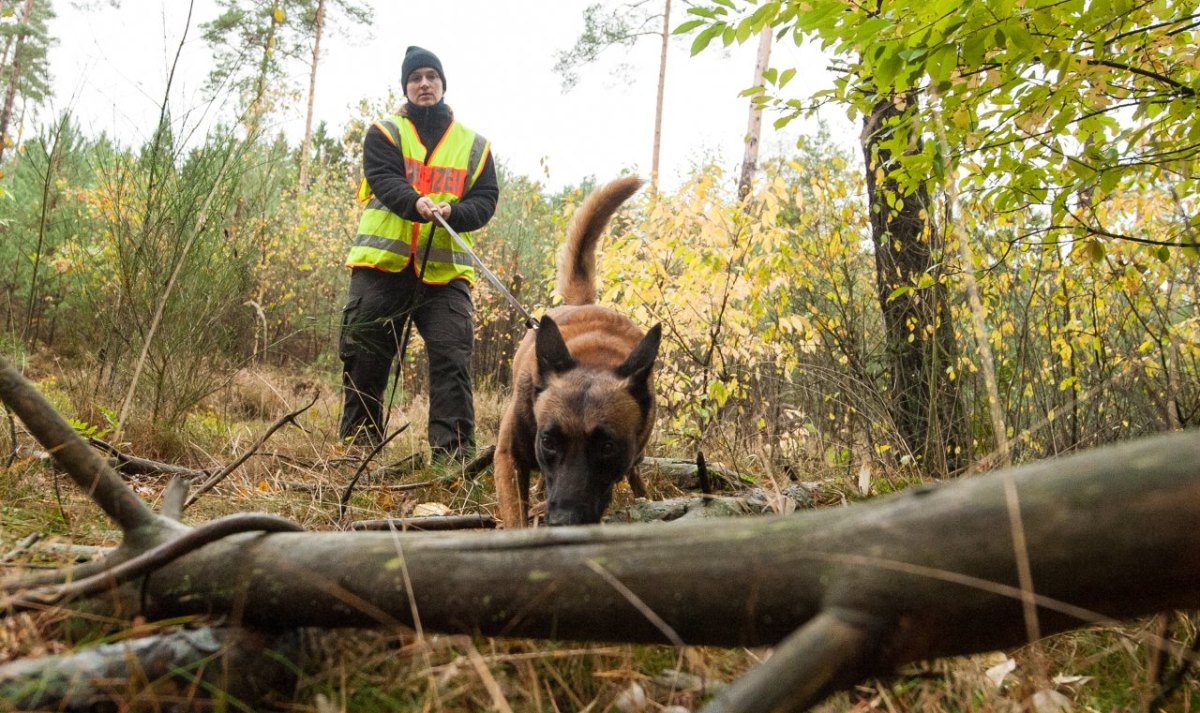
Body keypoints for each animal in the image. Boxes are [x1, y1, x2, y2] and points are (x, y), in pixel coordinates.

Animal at [496, 175, 667, 525]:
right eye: (548, 440)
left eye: (607, 447)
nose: (564, 521)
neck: (594, 358)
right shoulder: (509, 459)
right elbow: (515, 518)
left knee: (635, 471)